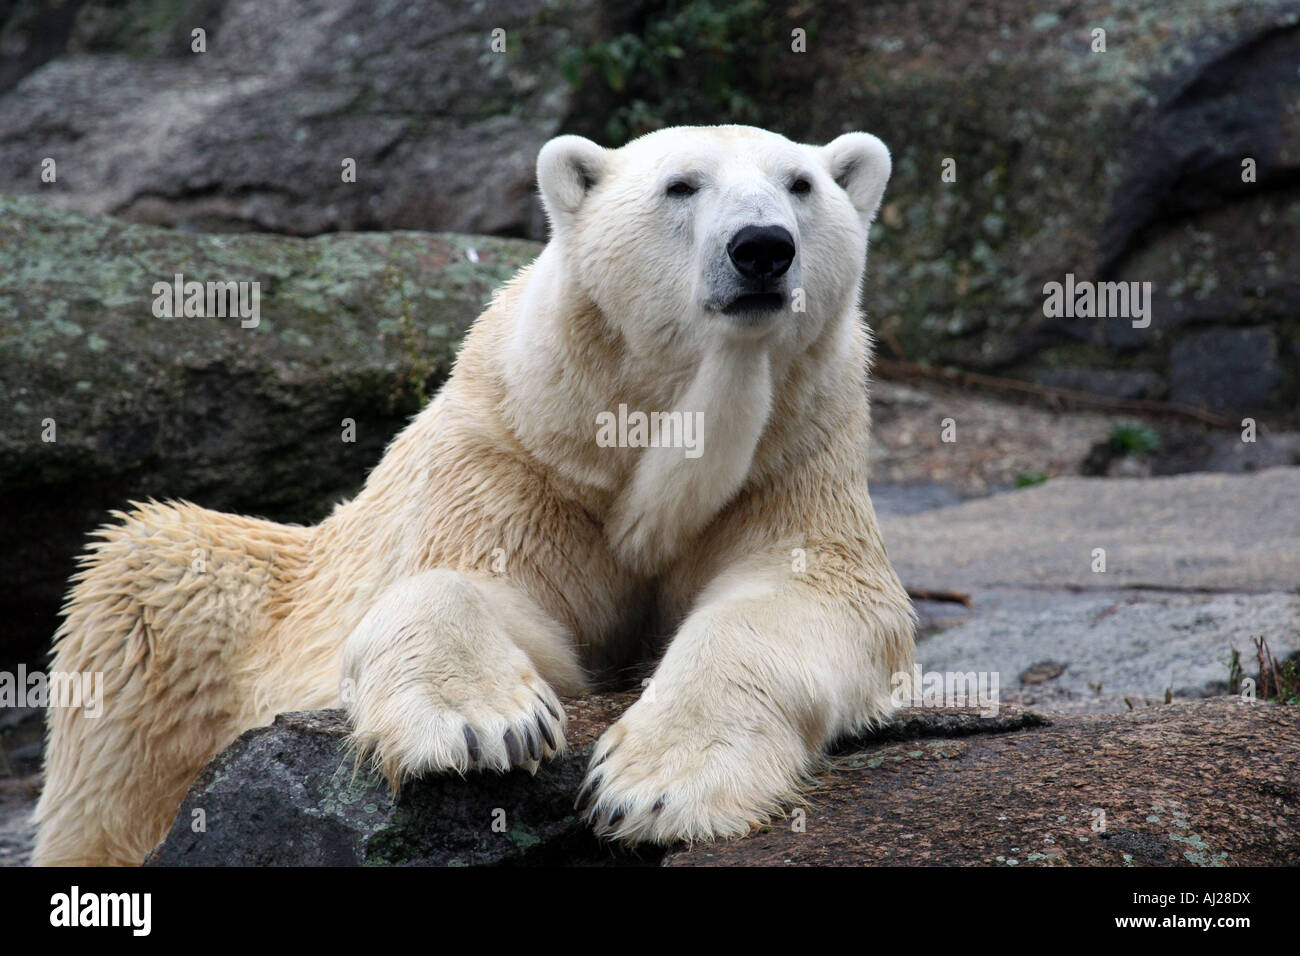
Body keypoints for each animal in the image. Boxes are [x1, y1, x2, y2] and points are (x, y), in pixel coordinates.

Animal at [35, 123, 920, 863]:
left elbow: (810, 597)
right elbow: (473, 584)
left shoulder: (793, 457)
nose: (762, 248)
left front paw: (653, 786)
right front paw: (484, 728)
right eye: (681, 185)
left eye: (801, 183)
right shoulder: (521, 452)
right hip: (214, 603)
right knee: (139, 627)